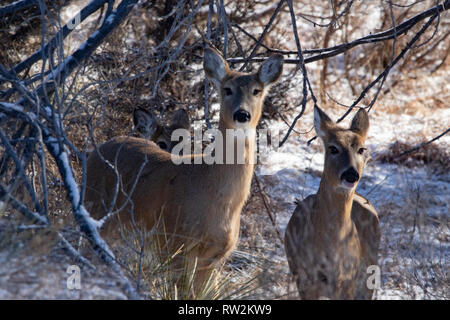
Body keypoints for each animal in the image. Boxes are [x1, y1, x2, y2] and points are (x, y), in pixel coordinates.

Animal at [84, 46, 284, 294]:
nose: (242, 114)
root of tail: (96, 150)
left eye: (257, 91)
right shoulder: (172, 242)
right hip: (96, 210)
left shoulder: (215, 257)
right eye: (227, 89)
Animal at [284, 107, 380, 300]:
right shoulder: (304, 279)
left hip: (368, 273)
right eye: (333, 148)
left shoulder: (348, 280)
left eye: (361, 149)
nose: (351, 174)